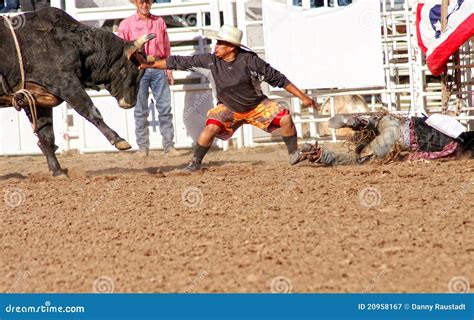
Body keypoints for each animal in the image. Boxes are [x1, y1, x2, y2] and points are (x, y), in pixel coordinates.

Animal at [0, 7, 152, 176]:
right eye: (132, 71)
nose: (130, 103)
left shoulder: (37, 98)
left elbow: (46, 134)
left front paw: (58, 171)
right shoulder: (66, 83)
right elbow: (90, 110)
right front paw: (120, 141)